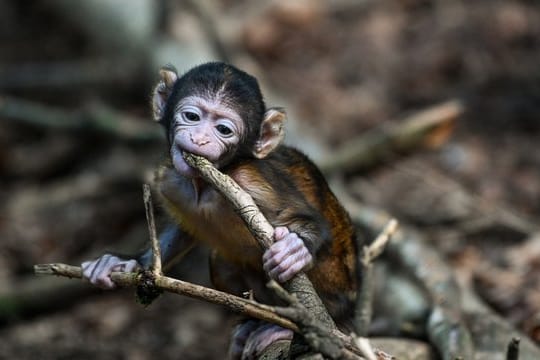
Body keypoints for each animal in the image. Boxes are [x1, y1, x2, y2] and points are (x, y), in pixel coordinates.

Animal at [82, 61, 356, 358]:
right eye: (192, 116)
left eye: (224, 130)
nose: (200, 139)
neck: (205, 186)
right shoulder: (171, 179)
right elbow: (182, 231)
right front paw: (123, 262)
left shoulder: (250, 180)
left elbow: (307, 218)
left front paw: (295, 248)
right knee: (221, 261)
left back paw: (287, 328)